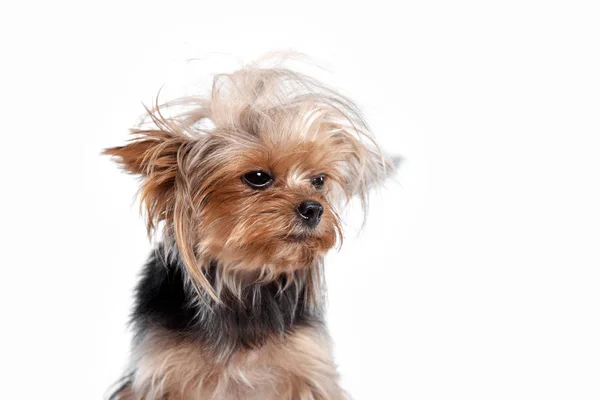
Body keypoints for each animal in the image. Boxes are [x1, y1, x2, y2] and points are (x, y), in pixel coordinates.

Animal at [103, 60, 394, 400]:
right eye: (257, 177)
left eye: (319, 180)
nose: (314, 208)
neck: (244, 281)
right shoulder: (163, 373)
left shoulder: (307, 369)